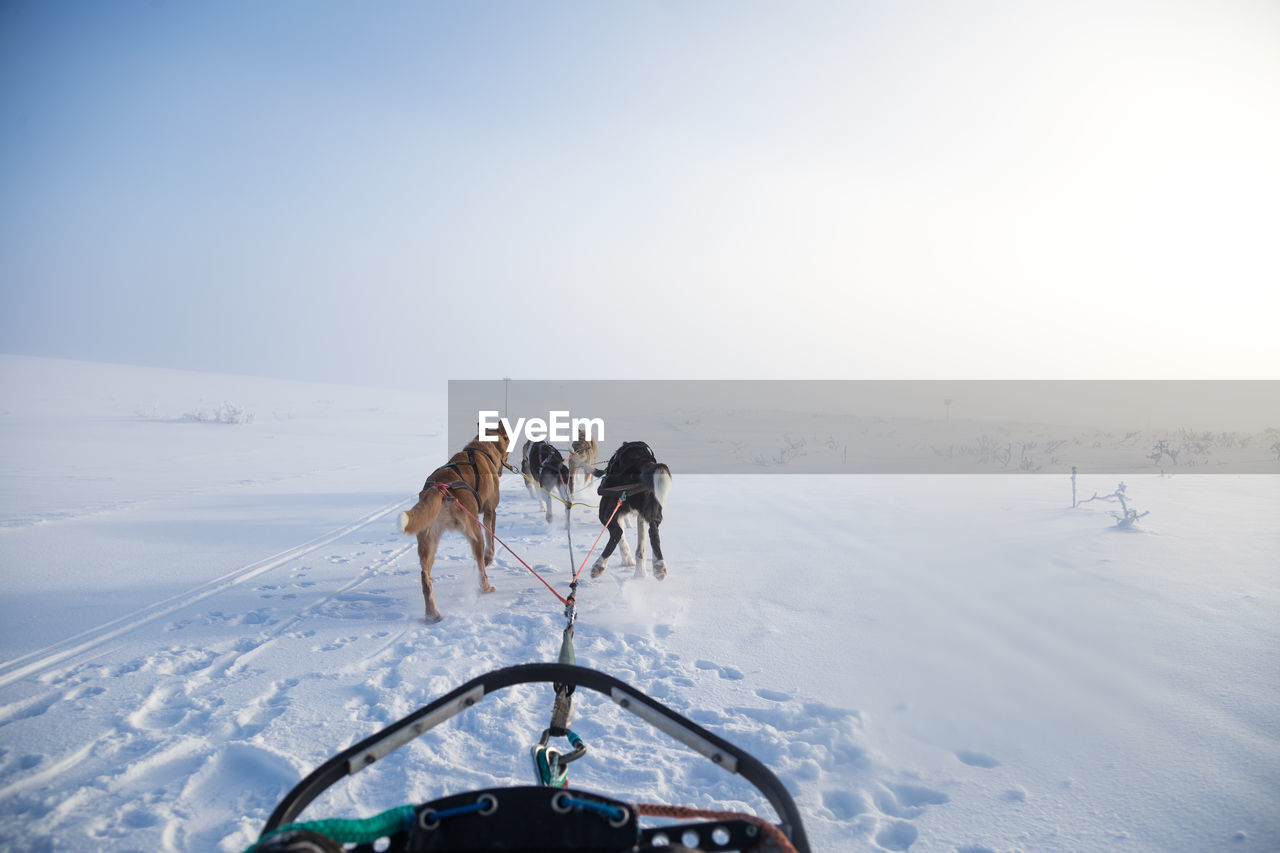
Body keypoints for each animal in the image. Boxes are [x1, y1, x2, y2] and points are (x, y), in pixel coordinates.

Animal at [396, 422, 506, 617]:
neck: (480, 449)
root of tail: (440, 489)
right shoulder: (490, 512)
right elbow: (491, 541)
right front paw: (490, 558)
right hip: (474, 533)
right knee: (480, 566)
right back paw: (486, 587)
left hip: (428, 542)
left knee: (425, 577)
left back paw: (432, 614)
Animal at [588, 438, 670, 578]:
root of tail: (642, 460)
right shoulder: (641, 516)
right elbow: (640, 550)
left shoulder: (617, 513)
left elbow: (622, 539)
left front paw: (627, 560)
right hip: (654, 511)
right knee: (653, 533)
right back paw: (658, 566)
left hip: (605, 510)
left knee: (617, 533)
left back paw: (599, 564)